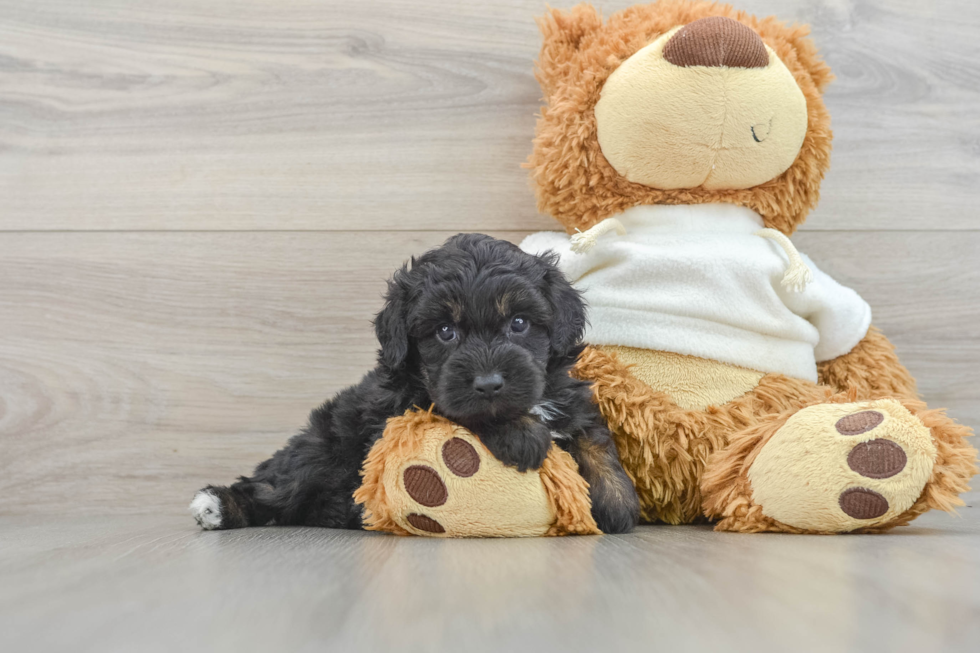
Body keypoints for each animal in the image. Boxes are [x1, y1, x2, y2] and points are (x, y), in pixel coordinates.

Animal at [190, 232, 640, 532]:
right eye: (444, 332)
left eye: (519, 323)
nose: (489, 383)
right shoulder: (411, 402)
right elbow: (460, 410)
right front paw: (522, 433)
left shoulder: (566, 395)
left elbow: (595, 438)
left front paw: (617, 500)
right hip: (318, 451)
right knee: (273, 488)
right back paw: (217, 505)